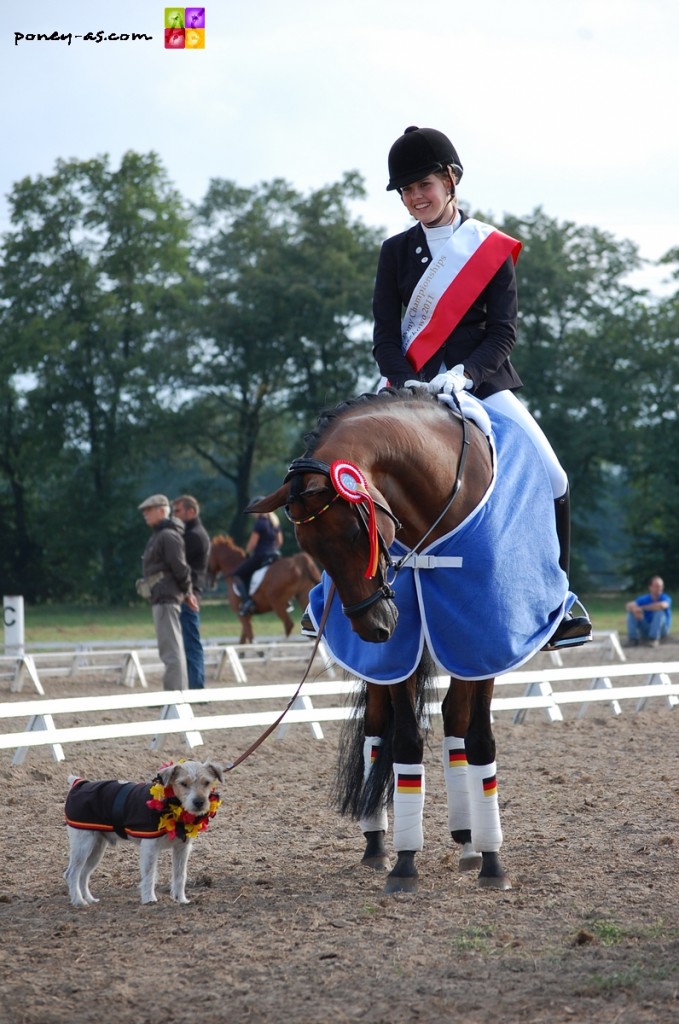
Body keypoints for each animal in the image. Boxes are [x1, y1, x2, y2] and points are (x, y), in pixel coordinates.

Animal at [249, 387, 569, 892]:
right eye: (309, 548)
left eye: (357, 530)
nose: (373, 627)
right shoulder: (402, 652)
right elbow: (404, 743)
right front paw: (403, 862)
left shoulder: (486, 642)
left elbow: (480, 741)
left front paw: (493, 863)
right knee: (379, 731)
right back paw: (378, 845)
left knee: (456, 724)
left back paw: (469, 841)